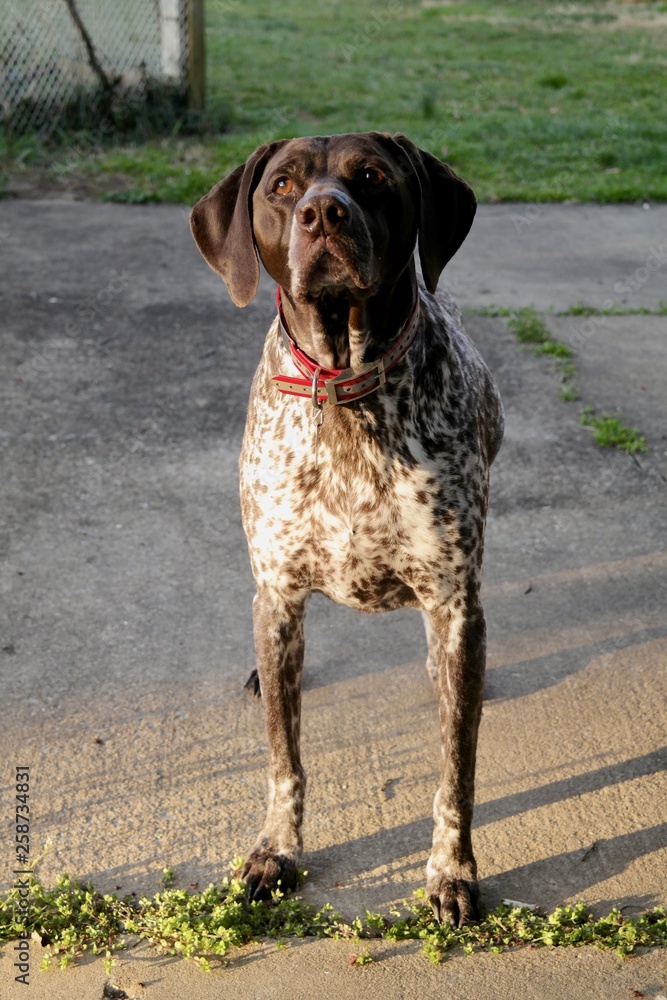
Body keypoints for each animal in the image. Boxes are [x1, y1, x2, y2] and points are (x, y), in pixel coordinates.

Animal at [190, 133, 504, 928]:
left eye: (372, 177)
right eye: (281, 185)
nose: (323, 212)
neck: (344, 391)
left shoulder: (453, 598)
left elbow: (457, 769)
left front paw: (452, 871)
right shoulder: (276, 594)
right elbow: (284, 758)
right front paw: (276, 850)